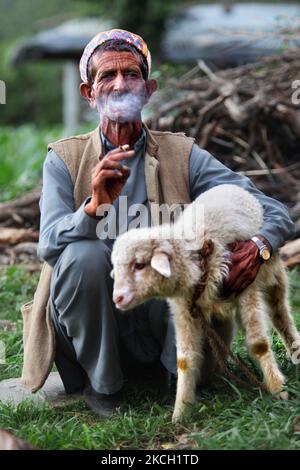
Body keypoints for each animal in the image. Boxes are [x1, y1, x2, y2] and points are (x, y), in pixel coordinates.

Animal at [110, 184, 300, 422]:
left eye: (139, 265)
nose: (117, 299)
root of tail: (231, 185)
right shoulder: (184, 310)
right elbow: (185, 360)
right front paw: (180, 414)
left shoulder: (246, 289)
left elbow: (259, 344)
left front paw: (278, 390)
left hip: (273, 274)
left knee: (280, 313)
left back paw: (295, 351)